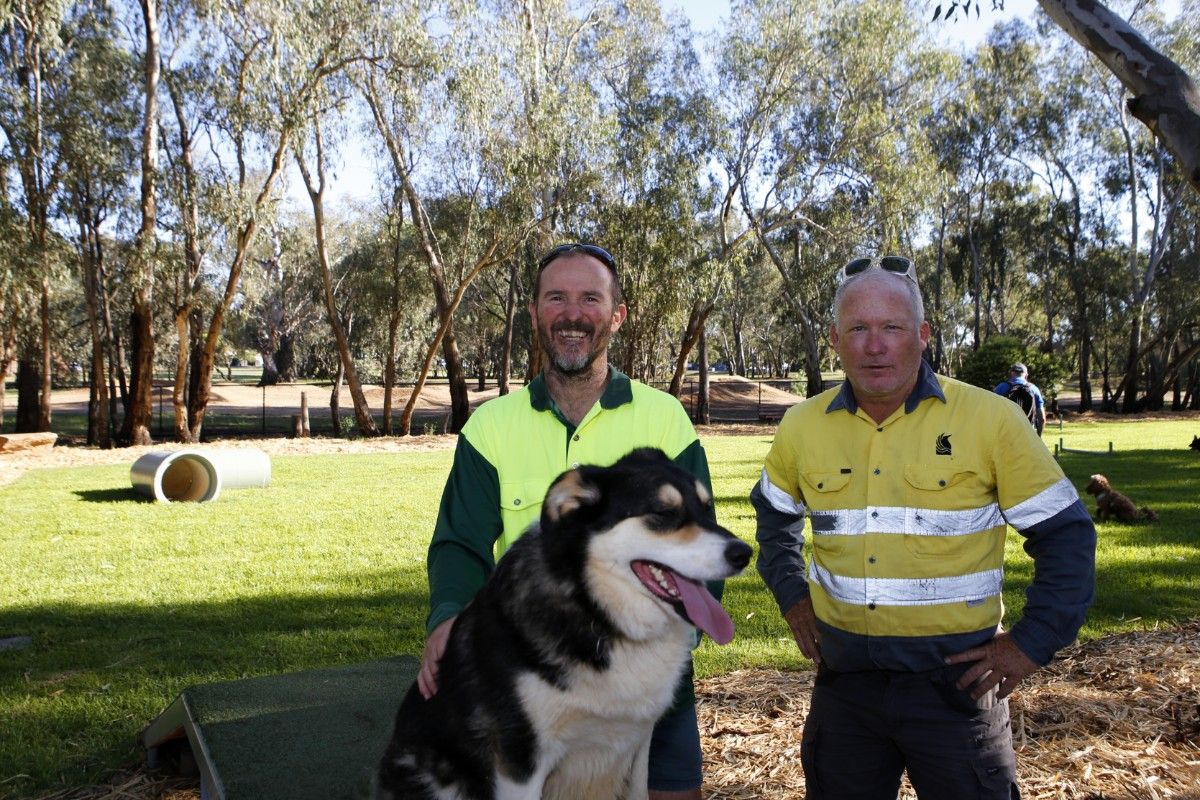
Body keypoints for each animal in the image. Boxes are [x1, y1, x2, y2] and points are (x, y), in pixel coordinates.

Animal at [374, 448, 748, 796]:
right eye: (663, 512)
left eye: (707, 508)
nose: (743, 553)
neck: (597, 615)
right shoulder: (520, 762)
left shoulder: (639, 745)